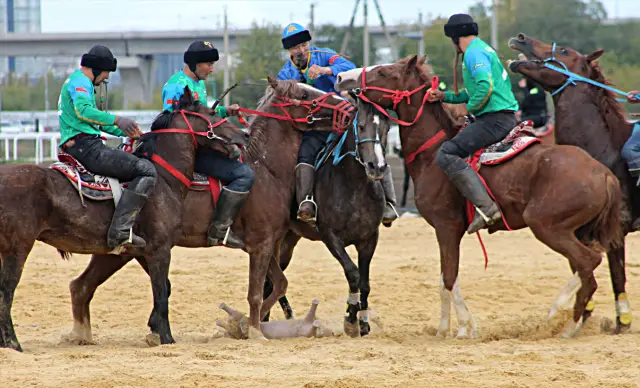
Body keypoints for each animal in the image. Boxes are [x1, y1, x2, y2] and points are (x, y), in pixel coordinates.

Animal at [0, 85, 250, 352]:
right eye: (210, 113)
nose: (243, 135)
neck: (163, 180)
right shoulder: (160, 250)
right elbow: (161, 292)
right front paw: (166, 338)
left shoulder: (136, 251)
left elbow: (165, 289)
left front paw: (155, 331)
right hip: (18, 248)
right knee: (7, 292)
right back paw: (13, 344)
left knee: (77, 286)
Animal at [62, 76, 356, 342]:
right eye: (304, 95)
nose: (348, 106)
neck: (265, 169)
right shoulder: (261, 243)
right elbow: (255, 293)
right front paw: (252, 330)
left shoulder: (266, 243)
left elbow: (279, 283)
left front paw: (242, 325)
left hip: (118, 252)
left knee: (81, 286)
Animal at [262, 99, 392, 336]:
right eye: (361, 127)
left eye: (386, 129)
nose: (376, 167)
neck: (355, 187)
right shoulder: (330, 236)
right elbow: (353, 273)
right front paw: (350, 319)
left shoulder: (369, 239)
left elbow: (365, 282)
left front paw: (363, 322)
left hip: (287, 242)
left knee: (271, 282)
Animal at [336, 55, 624, 340]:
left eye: (384, 72)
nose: (342, 78)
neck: (432, 153)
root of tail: (604, 173)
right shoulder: (449, 232)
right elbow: (448, 279)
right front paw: (459, 326)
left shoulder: (446, 227)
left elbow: (447, 279)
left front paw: (453, 328)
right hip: (574, 231)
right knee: (587, 271)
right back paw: (569, 324)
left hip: (546, 225)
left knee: (589, 262)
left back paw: (559, 312)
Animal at [504, 32, 636, 334]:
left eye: (564, 50)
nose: (521, 38)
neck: (603, 147)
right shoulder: (572, 230)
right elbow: (580, 267)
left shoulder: (615, 232)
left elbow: (616, 277)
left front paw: (620, 323)